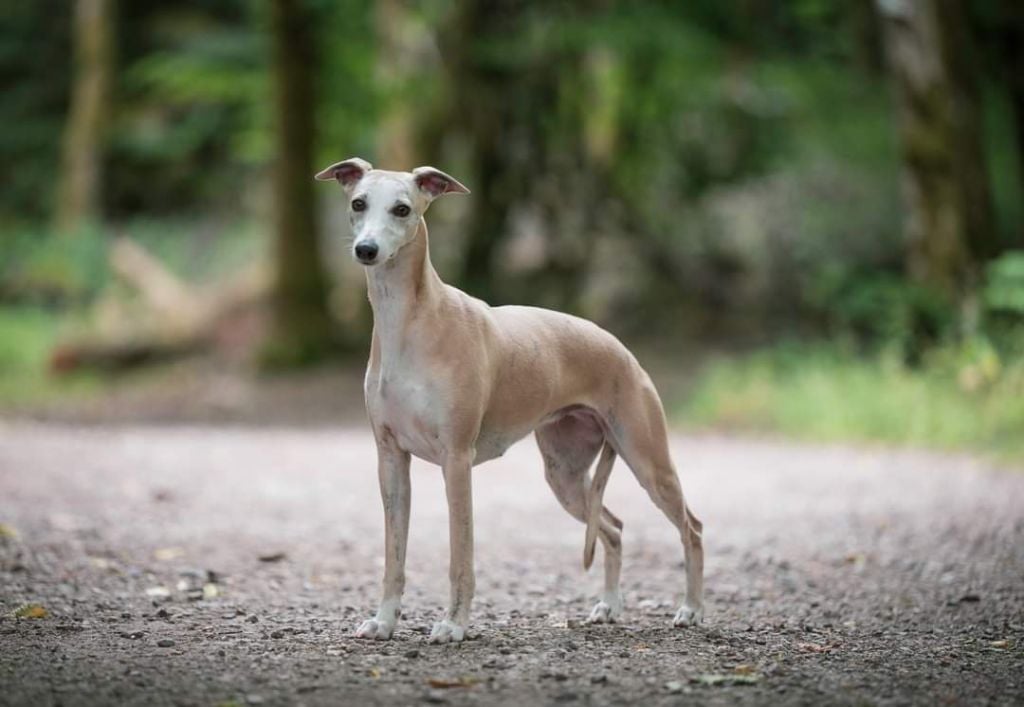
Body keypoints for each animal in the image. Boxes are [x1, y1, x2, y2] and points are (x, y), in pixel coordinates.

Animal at [317, 156, 704, 643]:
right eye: (358, 203)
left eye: (402, 209)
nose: (366, 250)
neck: (408, 321)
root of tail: (622, 351)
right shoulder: (390, 459)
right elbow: (394, 555)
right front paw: (384, 621)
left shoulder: (456, 460)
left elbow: (460, 555)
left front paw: (453, 625)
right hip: (564, 475)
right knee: (614, 528)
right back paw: (609, 606)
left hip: (649, 462)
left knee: (692, 528)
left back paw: (691, 609)